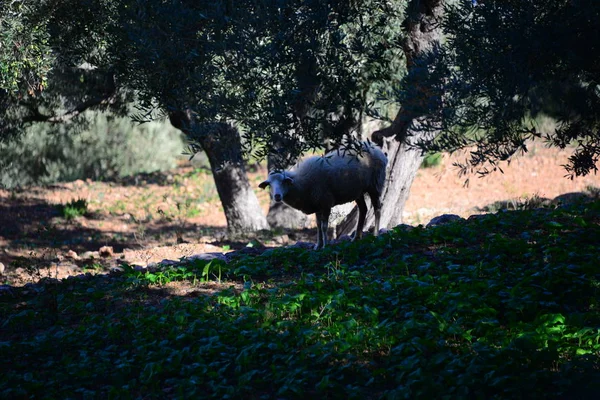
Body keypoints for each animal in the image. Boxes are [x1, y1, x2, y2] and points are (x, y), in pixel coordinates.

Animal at [258, 142, 390, 248]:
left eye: (283, 181)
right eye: (269, 184)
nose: (277, 196)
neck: (301, 184)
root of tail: (377, 149)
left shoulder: (326, 202)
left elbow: (324, 226)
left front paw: (325, 246)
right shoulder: (317, 204)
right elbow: (318, 225)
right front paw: (318, 245)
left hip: (375, 185)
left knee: (377, 208)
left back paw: (375, 234)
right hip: (358, 190)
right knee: (363, 209)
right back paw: (356, 237)